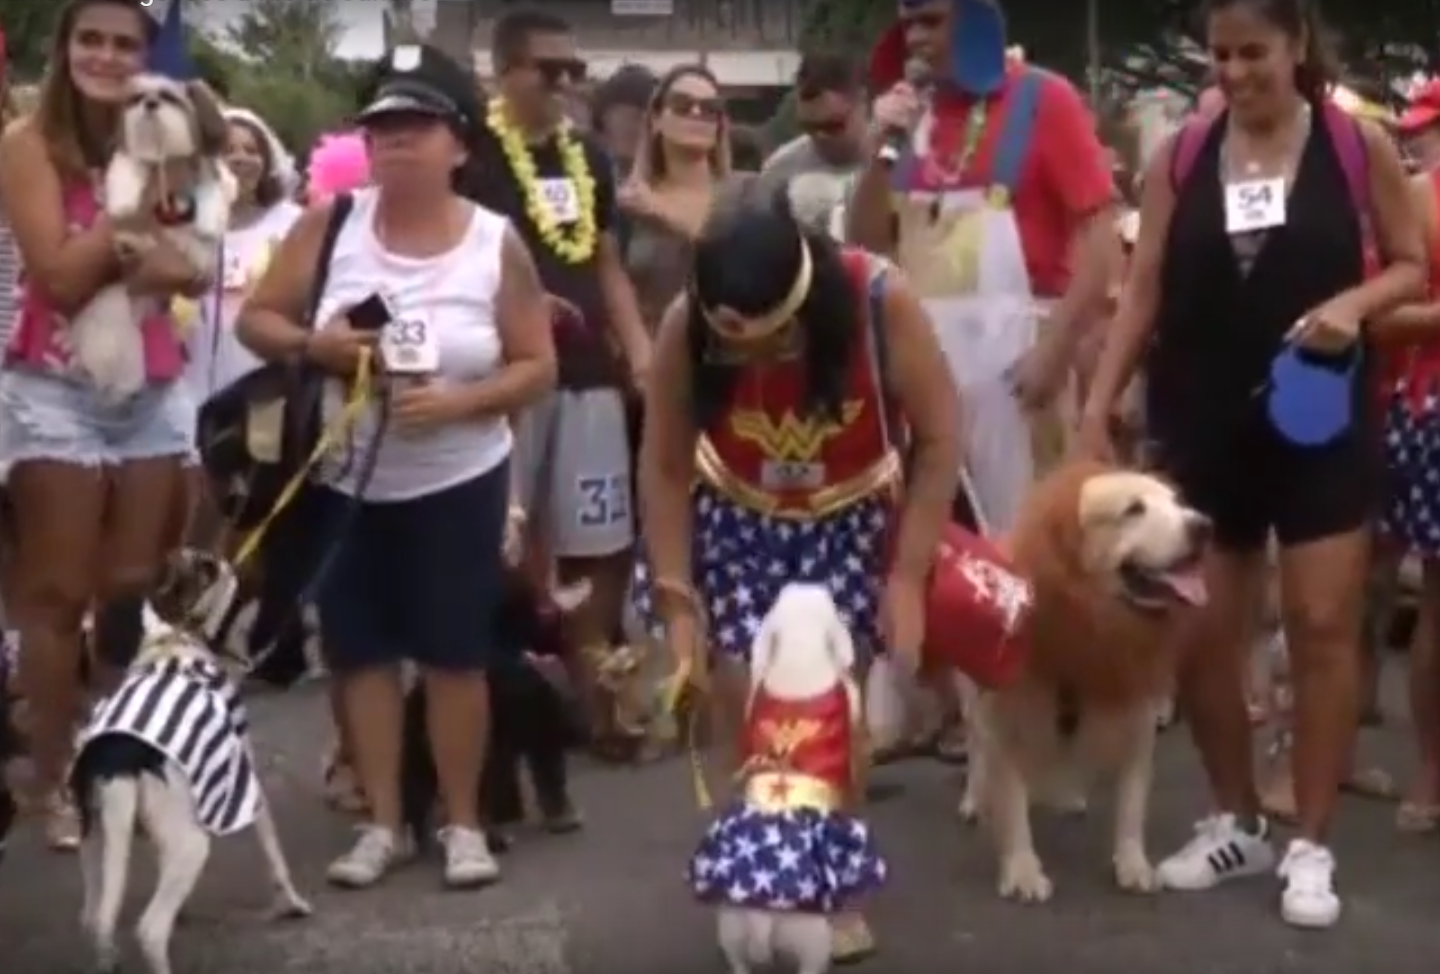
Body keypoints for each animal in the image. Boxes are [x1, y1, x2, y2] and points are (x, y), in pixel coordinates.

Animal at [70, 547, 312, 974]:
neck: (174, 641)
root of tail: (116, 756)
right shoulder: (248, 789)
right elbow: (275, 856)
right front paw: (293, 903)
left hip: (97, 841)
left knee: (98, 920)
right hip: (192, 846)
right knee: (150, 930)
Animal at [71, 71, 236, 400]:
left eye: (168, 97)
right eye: (135, 99)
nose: (149, 103)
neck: (164, 158)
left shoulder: (208, 170)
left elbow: (215, 187)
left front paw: (209, 220)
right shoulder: (129, 159)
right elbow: (127, 166)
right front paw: (123, 201)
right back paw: (132, 243)